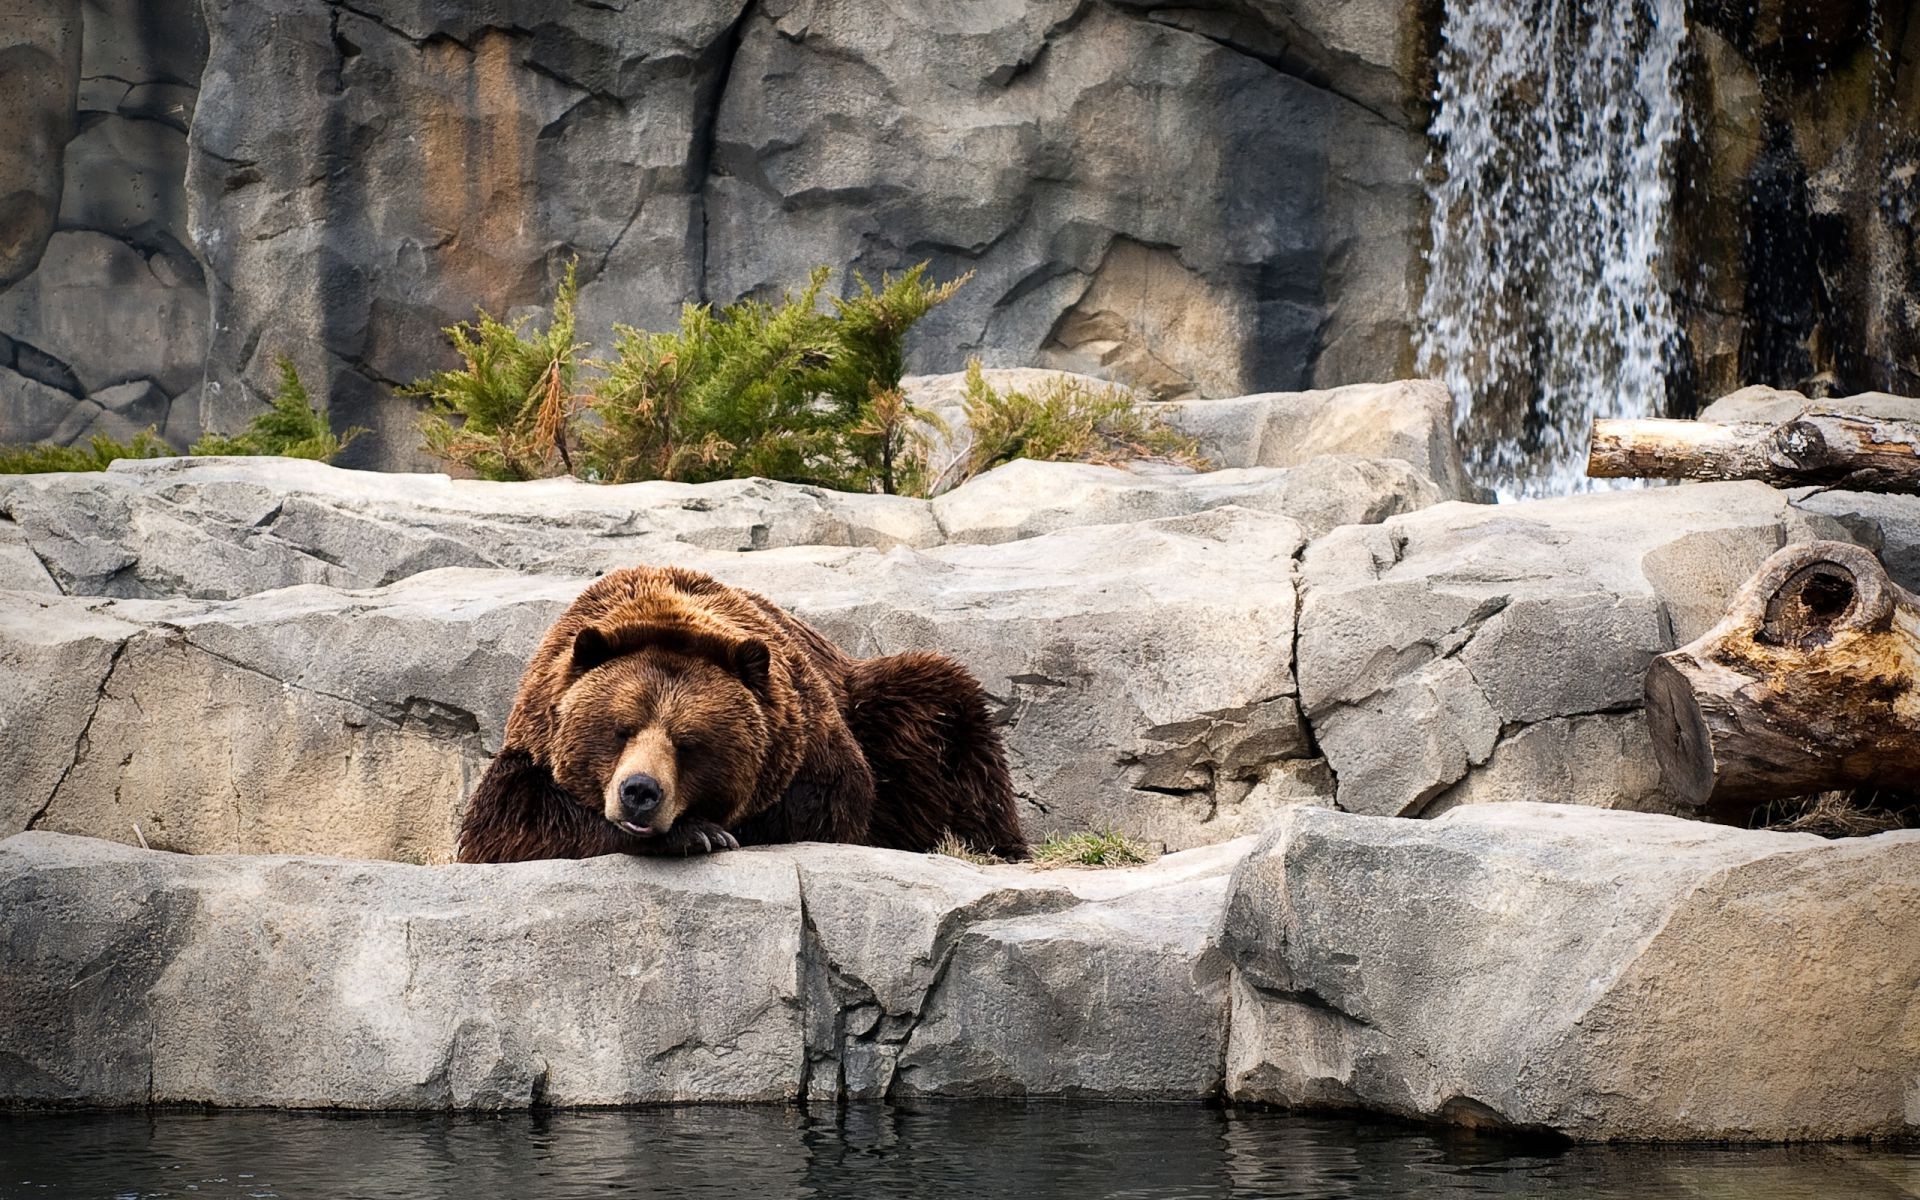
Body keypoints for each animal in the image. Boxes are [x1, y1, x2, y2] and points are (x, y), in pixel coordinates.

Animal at [456, 564, 1029, 860]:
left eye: (688, 743)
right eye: (621, 729)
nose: (640, 792)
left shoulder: (809, 739)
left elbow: (827, 806)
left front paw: (708, 829)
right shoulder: (533, 738)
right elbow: (508, 823)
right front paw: (697, 833)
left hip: (881, 705)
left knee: (943, 710)